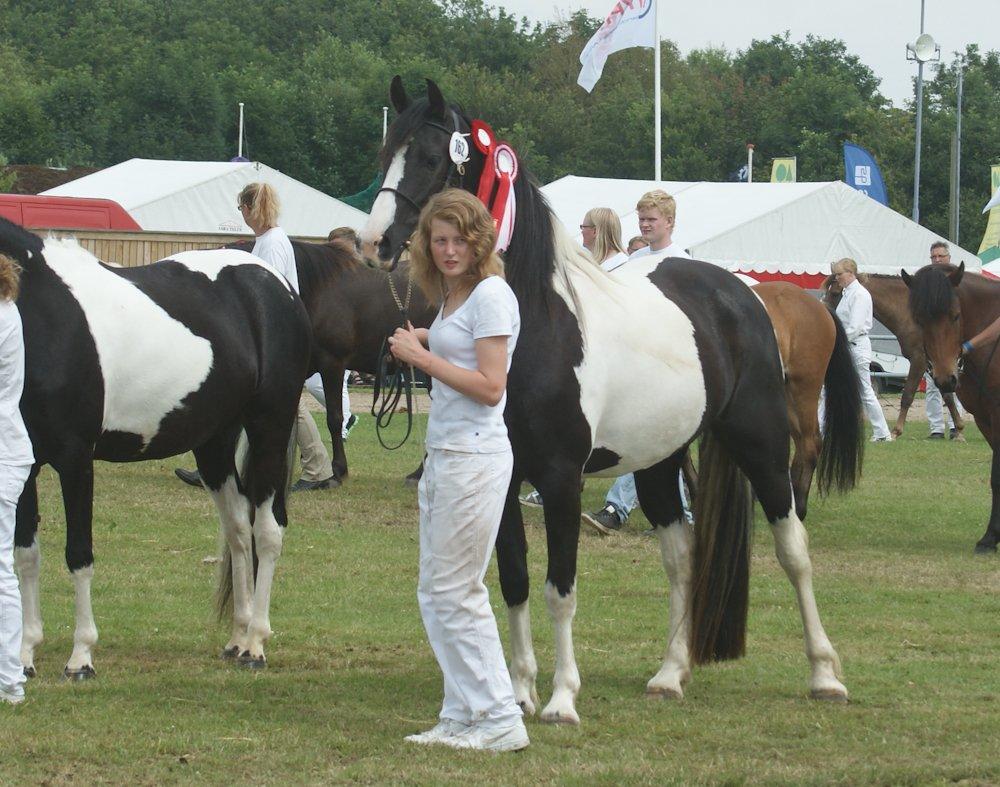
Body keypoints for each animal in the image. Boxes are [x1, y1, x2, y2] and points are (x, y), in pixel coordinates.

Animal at [1, 219, 310, 680]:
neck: (42, 316)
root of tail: (277, 285)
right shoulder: (24, 462)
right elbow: (26, 555)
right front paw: (25, 657)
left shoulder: (76, 460)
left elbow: (78, 554)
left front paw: (81, 658)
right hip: (215, 442)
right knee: (238, 528)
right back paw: (237, 639)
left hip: (269, 426)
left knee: (268, 531)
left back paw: (255, 644)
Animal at [362, 77, 852, 724]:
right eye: (385, 151)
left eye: (427, 157)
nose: (374, 243)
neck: (536, 324)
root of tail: (742, 293)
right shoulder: (505, 477)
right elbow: (516, 581)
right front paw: (520, 691)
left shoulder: (560, 478)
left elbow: (560, 589)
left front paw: (562, 699)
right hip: (660, 460)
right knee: (681, 556)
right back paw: (671, 673)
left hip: (763, 442)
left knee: (793, 547)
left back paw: (824, 674)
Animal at [824, 274, 964, 440]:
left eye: (835, 293)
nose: (823, 312)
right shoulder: (934, 365)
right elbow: (947, 396)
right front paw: (959, 428)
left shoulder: (919, 360)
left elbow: (907, 395)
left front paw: (896, 431)